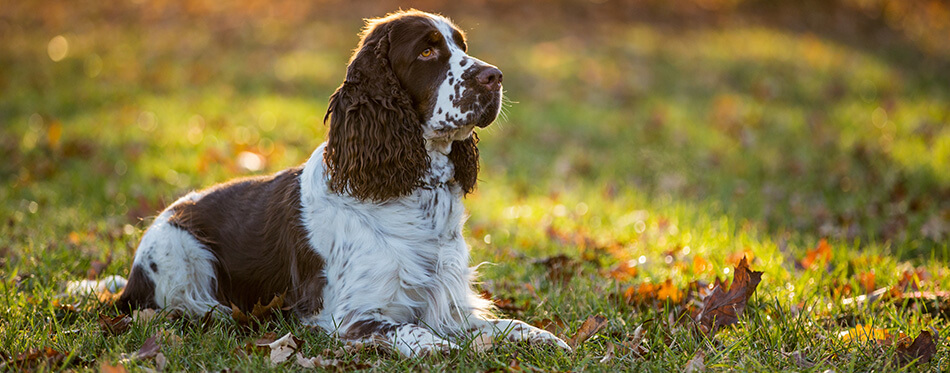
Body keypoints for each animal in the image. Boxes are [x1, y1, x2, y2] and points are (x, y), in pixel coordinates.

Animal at [112, 10, 572, 356]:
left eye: (462, 47)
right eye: (426, 51)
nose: (495, 76)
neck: (416, 190)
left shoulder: (451, 302)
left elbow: (508, 324)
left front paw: (545, 338)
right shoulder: (350, 315)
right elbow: (415, 332)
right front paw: (442, 349)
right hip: (180, 251)